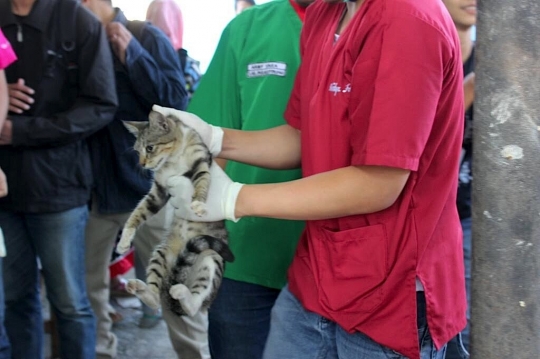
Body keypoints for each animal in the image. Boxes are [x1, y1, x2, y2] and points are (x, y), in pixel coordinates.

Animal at [116, 111, 234, 316]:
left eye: (150, 148)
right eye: (137, 151)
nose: (142, 164)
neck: (173, 158)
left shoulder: (201, 161)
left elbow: (202, 181)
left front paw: (199, 203)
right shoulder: (159, 191)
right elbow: (139, 211)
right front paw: (125, 239)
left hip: (212, 258)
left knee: (195, 305)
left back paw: (187, 298)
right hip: (161, 253)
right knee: (156, 299)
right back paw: (145, 291)